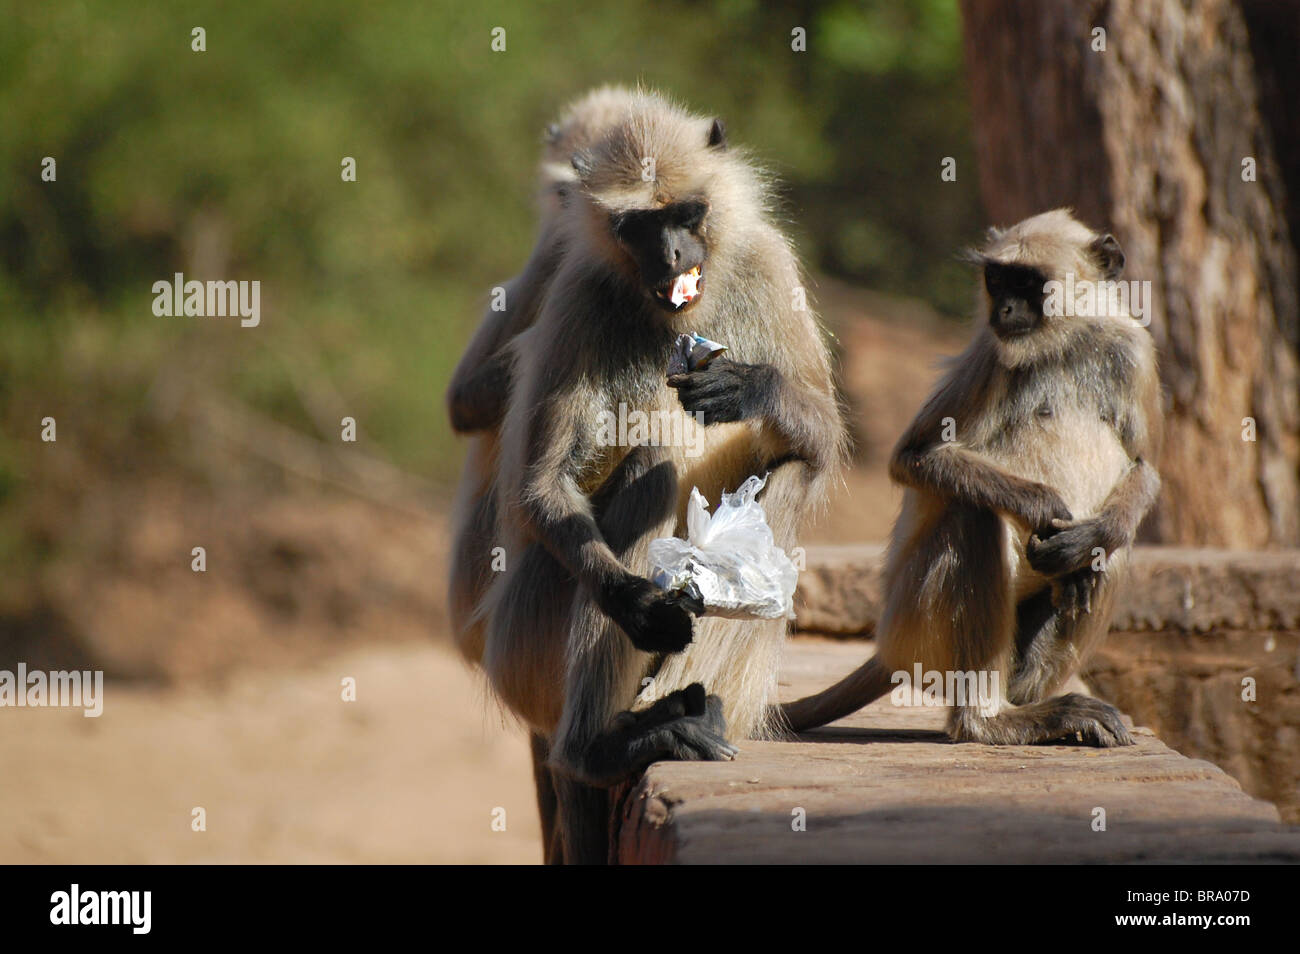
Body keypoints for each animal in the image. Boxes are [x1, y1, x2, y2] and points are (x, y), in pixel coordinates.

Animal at [483, 91, 847, 868]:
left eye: (685, 214)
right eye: (640, 227)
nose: (674, 254)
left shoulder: (767, 262)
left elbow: (824, 440)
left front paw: (751, 386)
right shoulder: (580, 292)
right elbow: (540, 487)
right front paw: (637, 604)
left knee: (792, 472)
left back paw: (684, 712)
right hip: (525, 637)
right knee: (650, 472)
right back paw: (598, 747)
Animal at [774, 207, 1164, 748]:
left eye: (1028, 282)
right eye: (996, 279)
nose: (1004, 310)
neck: (1065, 343)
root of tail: (887, 646)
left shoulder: (1132, 350)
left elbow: (1143, 465)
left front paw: (1086, 540)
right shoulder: (990, 356)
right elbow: (914, 456)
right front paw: (1042, 506)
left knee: (1113, 548)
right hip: (915, 615)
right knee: (974, 513)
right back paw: (991, 719)